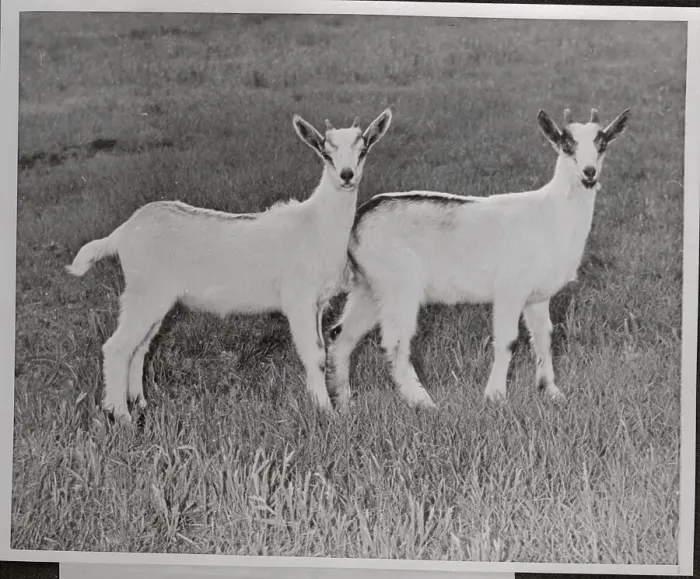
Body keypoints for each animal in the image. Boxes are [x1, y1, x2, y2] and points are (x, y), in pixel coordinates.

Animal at [67, 108, 393, 422]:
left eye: (363, 150)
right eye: (325, 153)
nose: (347, 175)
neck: (315, 225)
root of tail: (122, 232)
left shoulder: (317, 304)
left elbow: (322, 351)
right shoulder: (298, 297)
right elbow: (313, 354)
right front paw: (325, 411)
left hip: (155, 297)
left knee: (140, 346)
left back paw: (140, 403)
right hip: (144, 290)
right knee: (117, 347)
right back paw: (120, 416)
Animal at [327, 107, 630, 408]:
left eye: (602, 145)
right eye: (567, 146)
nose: (589, 173)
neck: (553, 213)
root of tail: (357, 220)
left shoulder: (537, 295)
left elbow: (544, 337)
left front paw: (551, 391)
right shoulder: (510, 287)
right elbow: (508, 340)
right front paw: (495, 395)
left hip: (369, 286)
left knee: (341, 333)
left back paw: (343, 401)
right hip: (398, 282)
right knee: (395, 340)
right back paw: (423, 401)